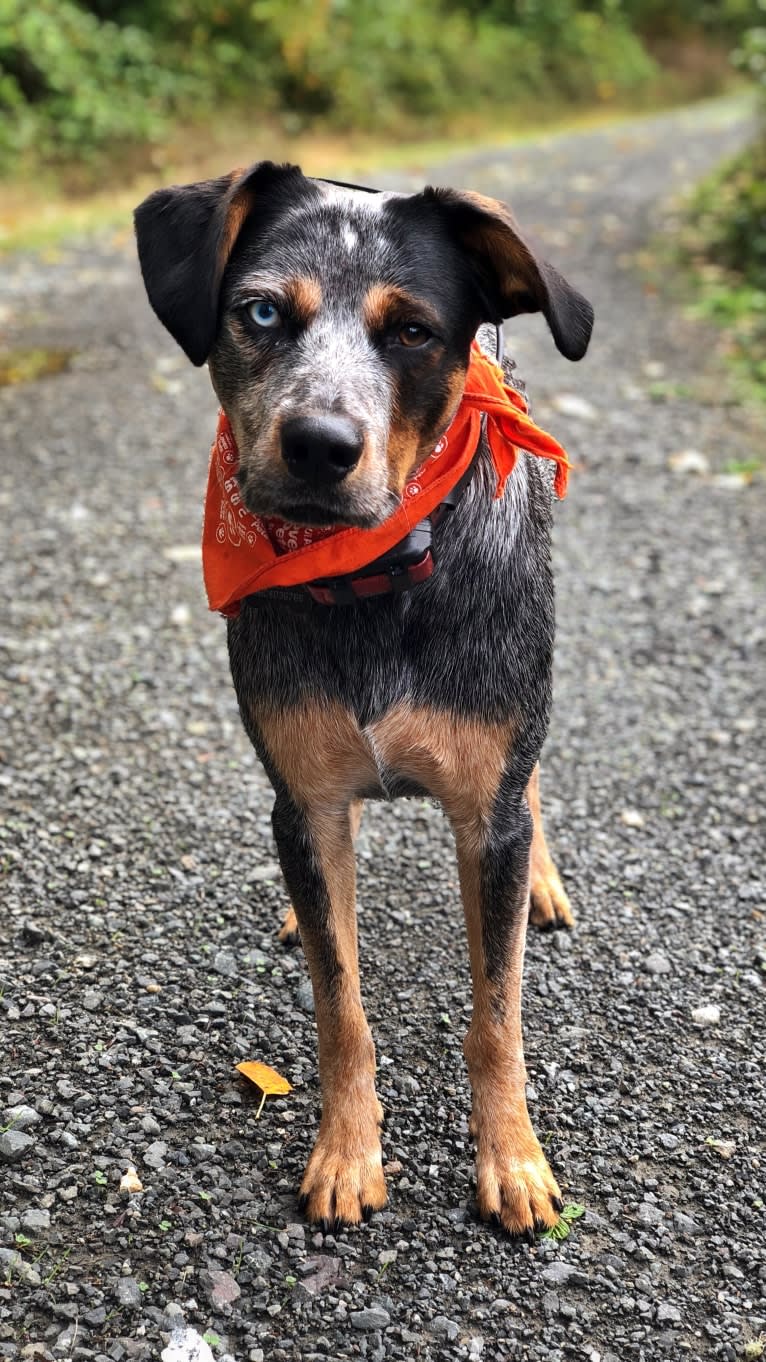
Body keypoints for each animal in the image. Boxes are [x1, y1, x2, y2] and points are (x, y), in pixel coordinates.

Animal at [134, 164, 594, 1242]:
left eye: (414, 331)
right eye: (261, 311)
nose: (318, 444)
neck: (373, 577)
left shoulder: (487, 801)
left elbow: (496, 1014)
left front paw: (512, 1160)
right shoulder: (304, 799)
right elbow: (339, 1004)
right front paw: (347, 1153)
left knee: (531, 783)